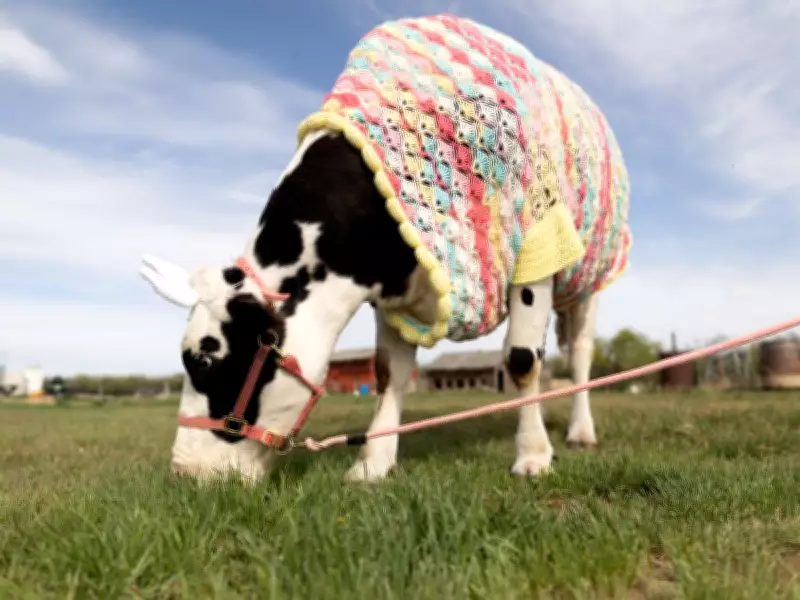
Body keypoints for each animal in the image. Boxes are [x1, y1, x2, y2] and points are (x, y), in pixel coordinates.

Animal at [139, 14, 631, 483]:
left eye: (206, 361)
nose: (183, 473)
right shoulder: (396, 289)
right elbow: (388, 372)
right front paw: (373, 464)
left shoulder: (538, 242)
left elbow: (523, 360)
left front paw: (532, 455)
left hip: (587, 278)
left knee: (579, 355)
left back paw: (579, 431)